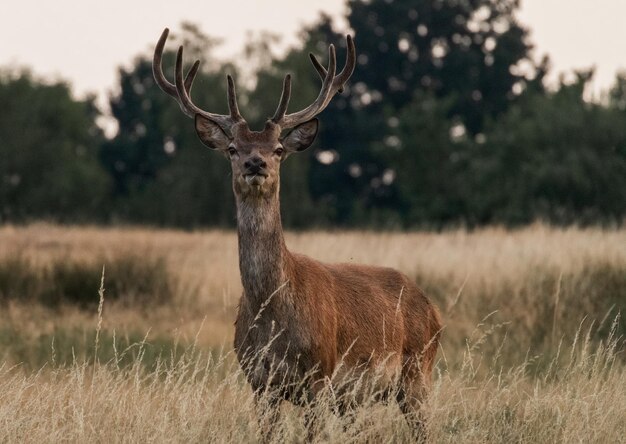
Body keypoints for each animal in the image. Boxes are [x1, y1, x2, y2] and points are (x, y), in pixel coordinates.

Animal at [153, 27, 442, 440]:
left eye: (277, 149)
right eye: (232, 148)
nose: (255, 163)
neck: (275, 319)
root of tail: (432, 307)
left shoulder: (319, 376)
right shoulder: (259, 383)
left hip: (418, 371)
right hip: (359, 399)